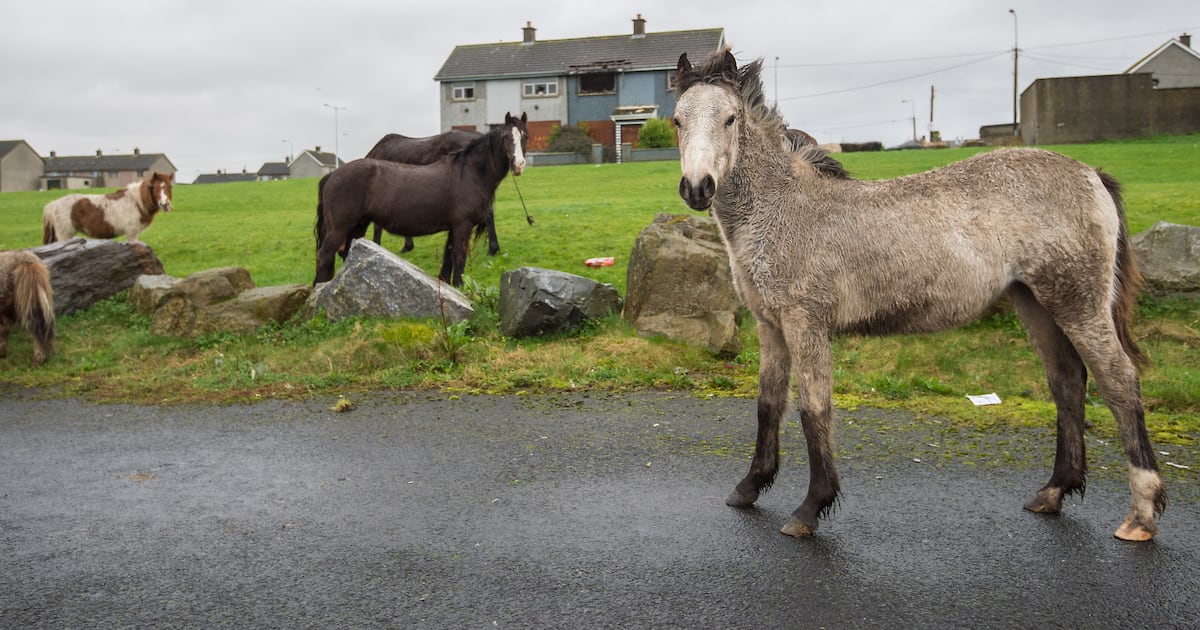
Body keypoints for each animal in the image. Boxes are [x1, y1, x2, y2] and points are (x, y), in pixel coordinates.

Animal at [42, 172, 174, 244]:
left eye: (170, 187)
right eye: (155, 188)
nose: (164, 203)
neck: (136, 201)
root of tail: (54, 204)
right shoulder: (132, 234)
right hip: (65, 235)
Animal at [315, 112, 528, 287]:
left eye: (525, 136)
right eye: (506, 137)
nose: (519, 164)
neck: (468, 173)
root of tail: (332, 175)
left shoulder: (453, 228)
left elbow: (448, 260)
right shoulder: (463, 226)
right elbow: (459, 259)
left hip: (357, 227)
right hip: (339, 228)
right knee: (324, 256)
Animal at [673, 49, 1165, 542]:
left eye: (730, 118)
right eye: (678, 120)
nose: (697, 188)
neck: (783, 209)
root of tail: (1091, 174)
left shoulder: (805, 324)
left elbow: (814, 410)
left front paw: (811, 507)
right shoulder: (770, 325)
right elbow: (768, 405)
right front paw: (750, 486)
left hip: (1078, 304)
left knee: (1119, 382)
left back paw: (1140, 515)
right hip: (1035, 303)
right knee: (1067, 381)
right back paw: (1054, 491)